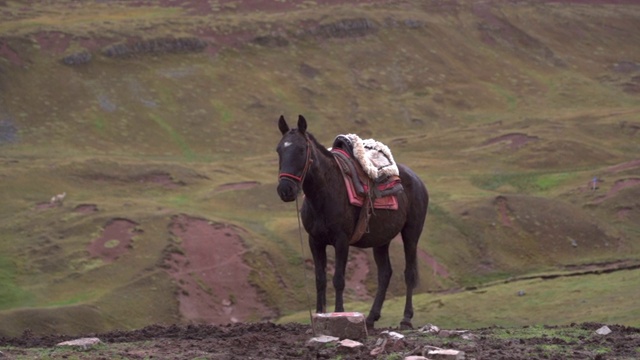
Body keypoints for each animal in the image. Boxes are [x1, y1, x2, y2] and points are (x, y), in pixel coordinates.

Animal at [276, 114, 430, 330]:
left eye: (301, 150)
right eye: (279, 150)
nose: (285, 190)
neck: (325, 193)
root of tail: (417, 180)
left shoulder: (341, 241)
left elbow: (338, 279)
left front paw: (339, 313)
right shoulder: (315, 241)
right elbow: (320, 279)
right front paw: (319, 314)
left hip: (411, 233)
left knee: (409, 273)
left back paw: (406, 319)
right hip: (381, 240)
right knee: (385, 274)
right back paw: (371, 318)